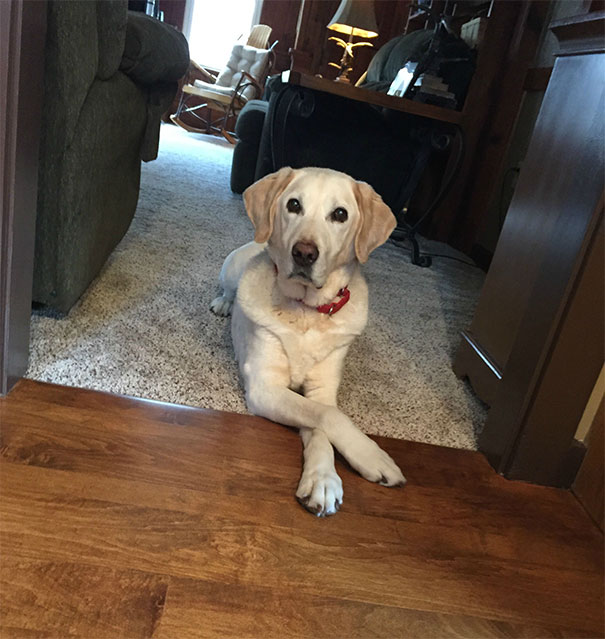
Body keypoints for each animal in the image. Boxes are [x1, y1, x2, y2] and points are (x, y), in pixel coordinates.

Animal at [212, 168, 406, 516]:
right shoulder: (265, 387)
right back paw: (223, 303)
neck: (307, 311)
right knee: (227, 289)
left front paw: (323, 480)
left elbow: (321, 419)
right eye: (294, 205)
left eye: (340, 214)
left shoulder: (322, 389)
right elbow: (328, 416)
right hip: (232, 268)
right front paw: (373, 456)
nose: (304, 253)